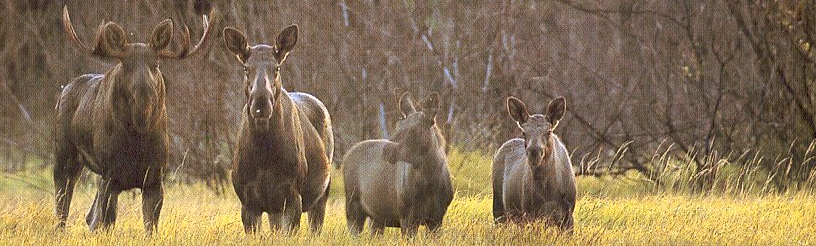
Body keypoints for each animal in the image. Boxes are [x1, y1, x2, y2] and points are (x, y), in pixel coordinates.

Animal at [52, 5, 218, 233]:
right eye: (125, 64)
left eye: (156, 64)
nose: (144, 94)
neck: (137, 137)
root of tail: (65, 89)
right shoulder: (111, 174)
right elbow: (107, 221)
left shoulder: (155, 176)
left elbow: (150, 226)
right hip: (65, 154)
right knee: (63, 206)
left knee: (90, 215)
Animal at [223, 25, 334, 234]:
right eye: (246, 68)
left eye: (277, 68)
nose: (261, 103)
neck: (264, 156)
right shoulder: (248, 202)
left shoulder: (292, 197)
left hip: (323, 191)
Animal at [340, 92, 452, 238]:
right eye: (397, 126)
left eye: (414, 130)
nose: (387, 150)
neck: (430, 181)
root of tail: (345, 157)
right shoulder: (407, 217)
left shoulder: (437, 218)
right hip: (352, 205)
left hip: (376, 218)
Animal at [488, 95, 576, 231]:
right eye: (524, 132)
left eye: (549, 132)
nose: (534, 153)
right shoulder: (530, 213)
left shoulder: (569, 216)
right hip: (499, 207)